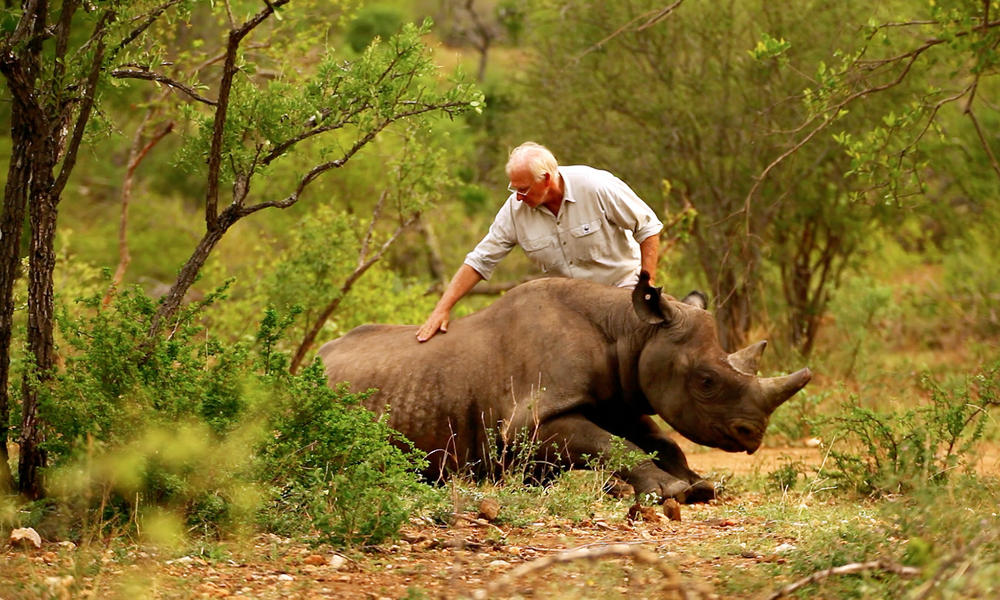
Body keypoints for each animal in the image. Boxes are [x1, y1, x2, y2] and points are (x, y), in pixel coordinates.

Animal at [320, 272, 812, 502]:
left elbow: (661, 441)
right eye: (706, 381)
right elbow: (610, 443)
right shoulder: (531, 420)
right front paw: (670, 491)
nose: (753, 435)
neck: (632, 332)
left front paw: (699, 485)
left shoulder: (618, 397)